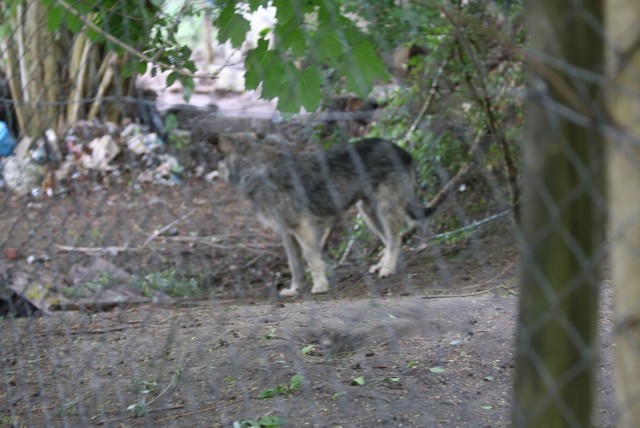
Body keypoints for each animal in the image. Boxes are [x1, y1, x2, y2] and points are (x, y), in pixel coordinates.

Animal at [208, 134, 432, 298]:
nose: (213, 174)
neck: (257, 171)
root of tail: (403, 150)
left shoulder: (302, 227)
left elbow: (312, 258)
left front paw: (320, 285)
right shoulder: (287, 233)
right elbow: (295, 265)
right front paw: (295, 289)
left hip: (385, 210)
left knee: (396, 239)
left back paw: (388, 268)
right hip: (369, 212)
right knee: (389, 239)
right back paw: (382, 265)